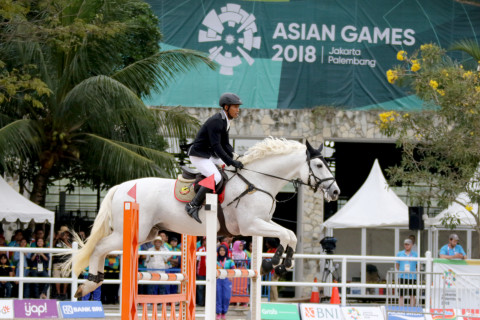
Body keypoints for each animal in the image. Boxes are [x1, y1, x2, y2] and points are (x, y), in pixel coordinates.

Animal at [72, 138, 342, 298]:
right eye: (319, 165)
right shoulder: (250, 225)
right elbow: (286, 234)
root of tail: (121, 187)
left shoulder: (262, 223)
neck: (259, 180)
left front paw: (280, 263)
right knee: (98, 248)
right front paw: (274, 263)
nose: (336, 192)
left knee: (101, 249)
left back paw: (91, 283)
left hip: (146, 232)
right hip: (131, 232)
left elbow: (291, 234)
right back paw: (90, 283)